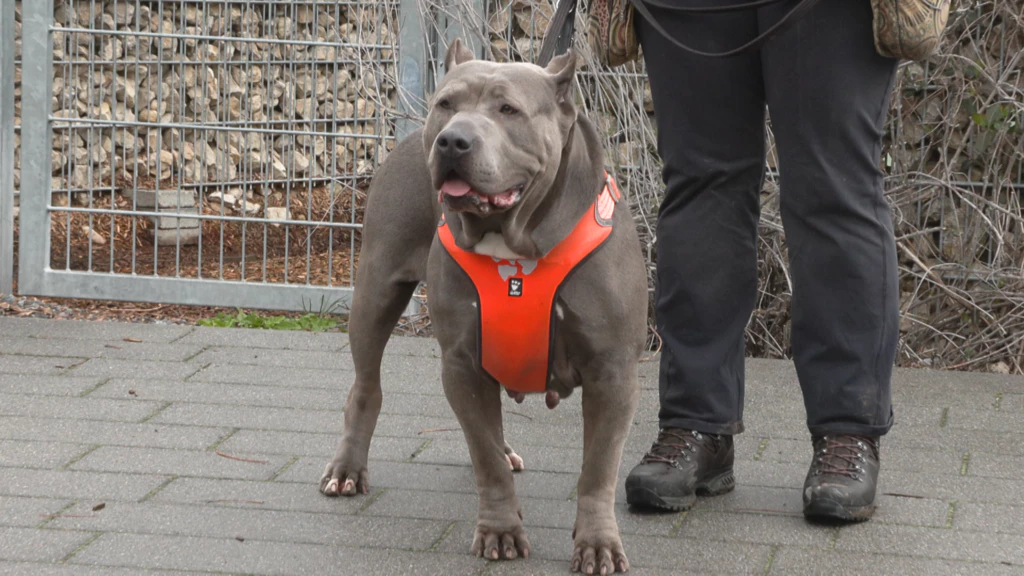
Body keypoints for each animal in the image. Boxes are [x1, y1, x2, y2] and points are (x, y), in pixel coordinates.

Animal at [317, 39, 647, 569]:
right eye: (446, 103)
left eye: (508, 109)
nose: (452, 141)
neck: (514, 241)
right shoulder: (462, 363)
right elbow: (485, 458)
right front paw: (500, 530)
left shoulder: (612, 370)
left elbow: (598, 468)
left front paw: (597, 542)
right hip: (376, 290)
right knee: (366, 385)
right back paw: (347, 468)